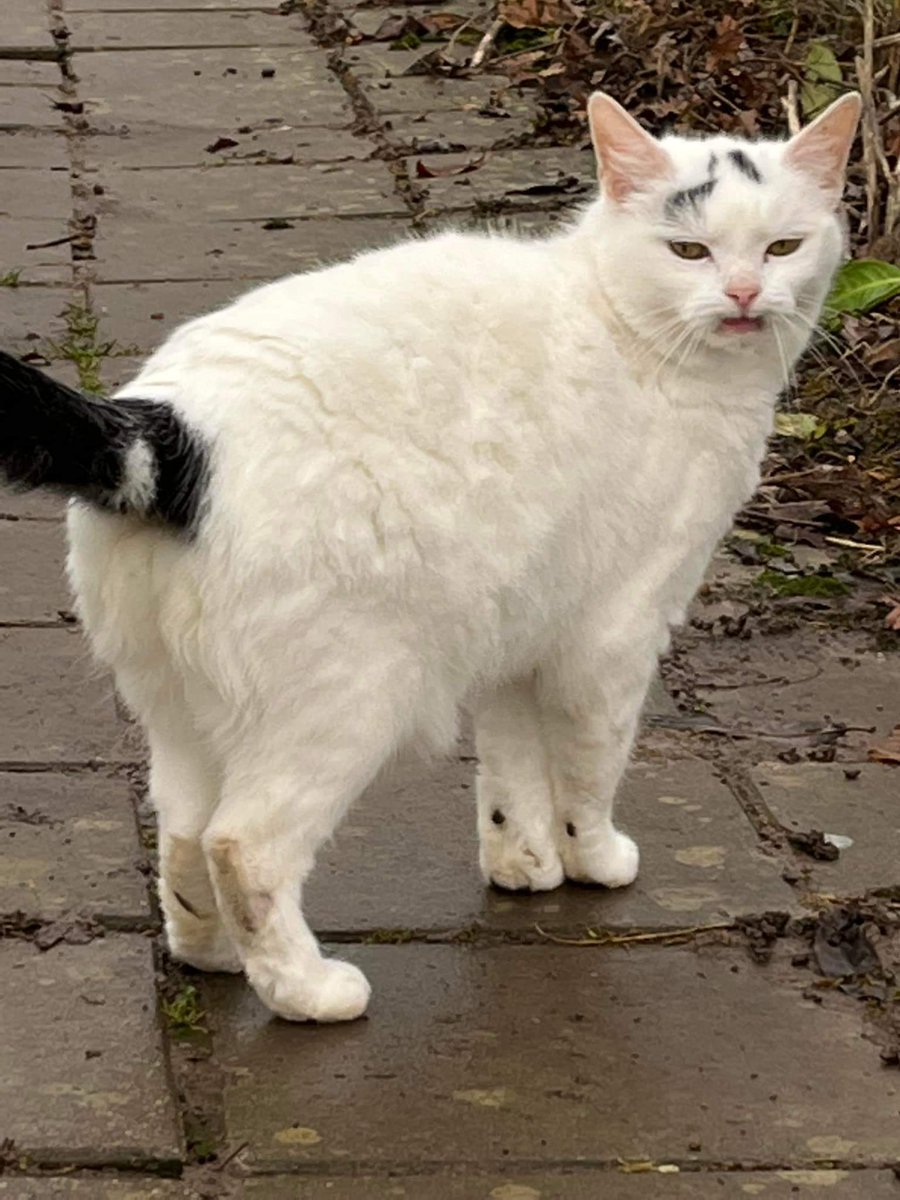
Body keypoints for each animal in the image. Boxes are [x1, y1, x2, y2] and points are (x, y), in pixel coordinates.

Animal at [0, 88, 859, 1022]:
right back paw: (308, 990)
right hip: (349, 699)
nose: (744, 293)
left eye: (783, 247)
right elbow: (591, 767)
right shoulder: (615, 637)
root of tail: (169, 431)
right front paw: (592, 859)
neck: (628, 329)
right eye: (688, 250)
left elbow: (512, 772)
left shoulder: (523, 633)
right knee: (243, 845)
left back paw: (214, 957)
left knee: (186, 835)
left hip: (178, 707)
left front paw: (525, 866)